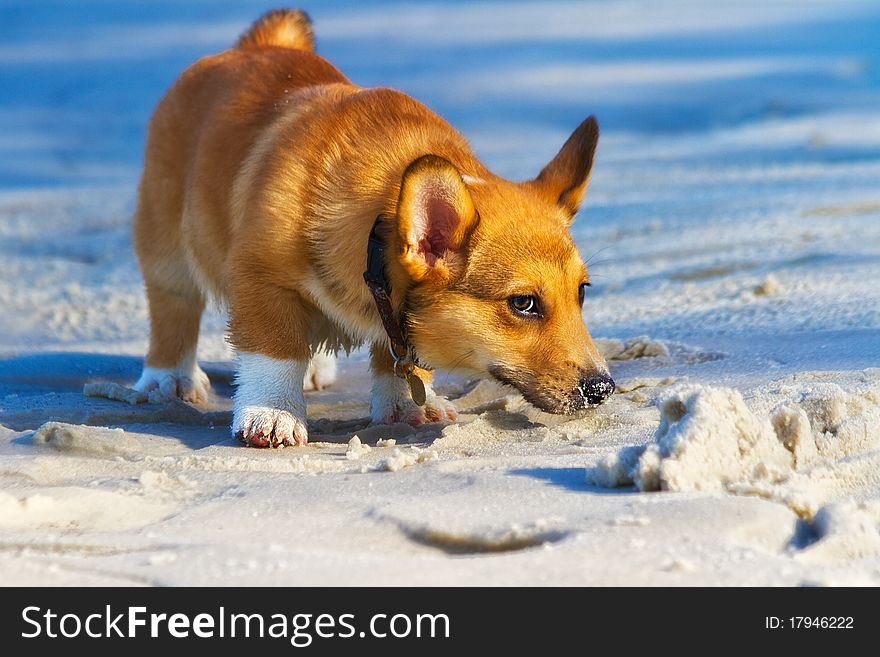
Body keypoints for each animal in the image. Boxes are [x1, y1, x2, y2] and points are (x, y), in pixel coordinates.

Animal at [132, 10, 612, 448]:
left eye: (582, 292)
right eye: (524, 304)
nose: (602, 389)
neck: (377, 223)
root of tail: (258, 45)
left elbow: (399, 360)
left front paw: (405, 405)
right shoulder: (261, 278)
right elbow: (275, 349)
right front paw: (274, 414)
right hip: (165, 242)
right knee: (173, 307)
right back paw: (169, 377)